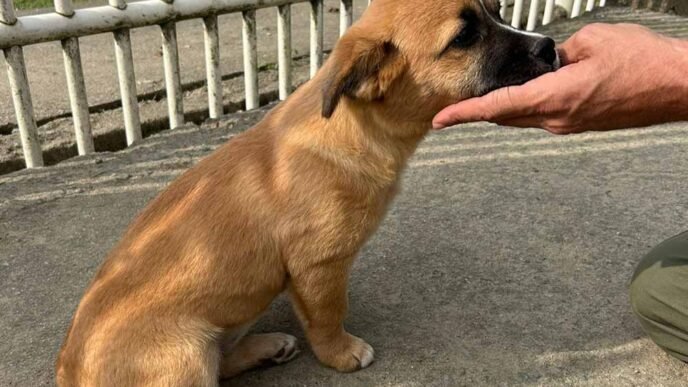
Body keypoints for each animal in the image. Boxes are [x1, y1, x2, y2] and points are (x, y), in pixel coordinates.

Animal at [56, 0, 556, 384]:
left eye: (496, 12)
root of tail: (68, 373)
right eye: (464, 38)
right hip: (185, 355)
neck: (354, 127)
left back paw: (268, 346)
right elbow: (329, 313)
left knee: (223, 359)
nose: (550, 46)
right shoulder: (319, 264)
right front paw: (341, 353)